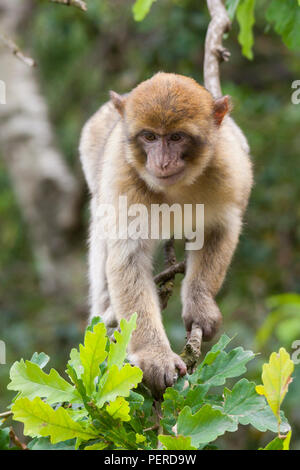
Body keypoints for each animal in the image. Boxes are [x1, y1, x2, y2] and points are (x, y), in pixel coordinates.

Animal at [78, 72, 252, 396]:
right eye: (149, 137)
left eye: (176, 137)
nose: (161, 162)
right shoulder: (123, 177)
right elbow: (127, 257)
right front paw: (153, 355)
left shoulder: (229, 168)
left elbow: (221, 228)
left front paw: (200, 304)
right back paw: (105, 315)